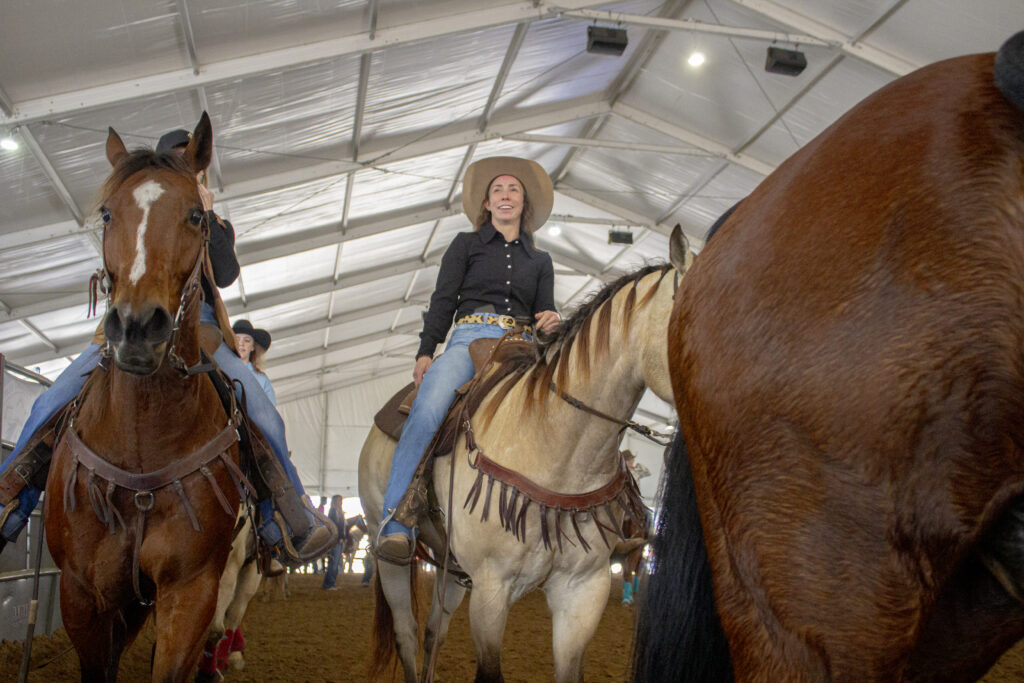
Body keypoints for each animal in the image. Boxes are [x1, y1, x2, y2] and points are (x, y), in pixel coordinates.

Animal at [44, 114, 245, 679]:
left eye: (197, 215)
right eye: (108, 213)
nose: (136, 328)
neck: (141, 445)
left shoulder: (191, 590)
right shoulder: (82, 594)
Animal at [358, 241, 688, 683]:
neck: (558, 449)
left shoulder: (583, 591)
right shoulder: (492, 588)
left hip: (453, 567)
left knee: (433, 633)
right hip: (390, 552)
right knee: (406, 633)